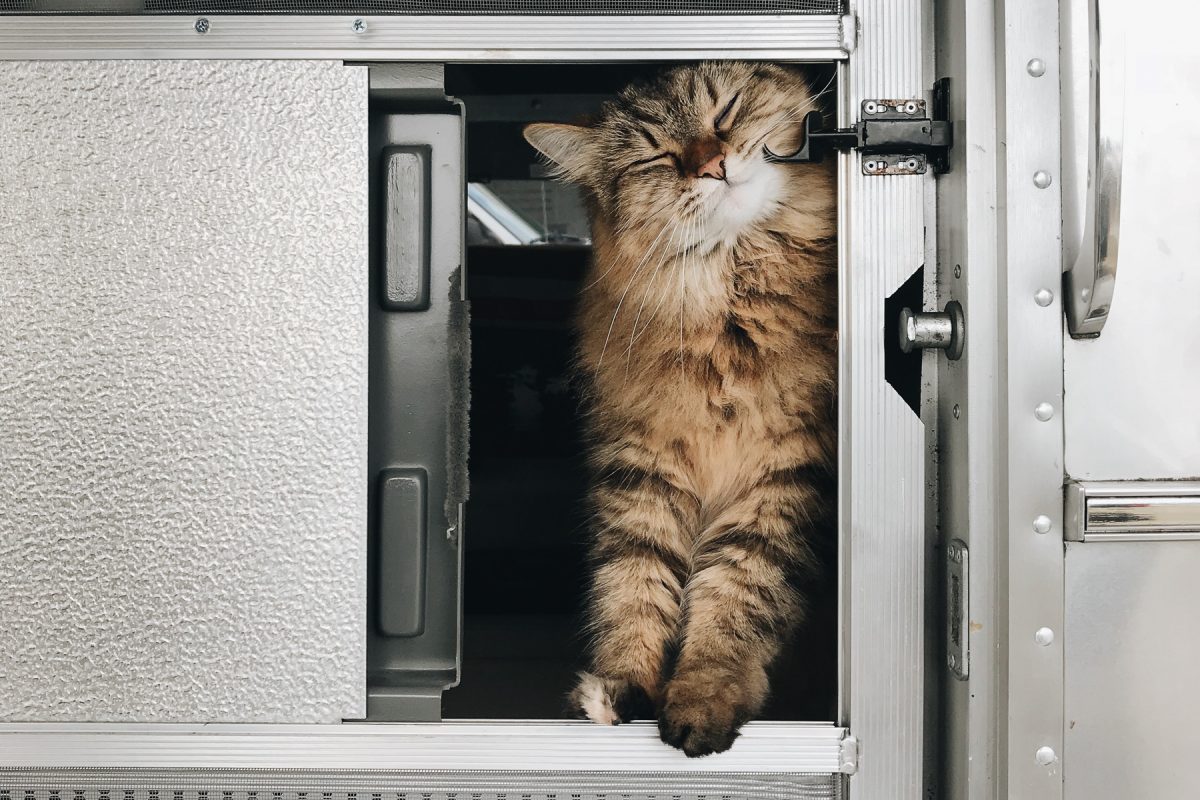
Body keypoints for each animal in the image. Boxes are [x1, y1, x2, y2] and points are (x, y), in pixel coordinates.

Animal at [525, 62, 835, 758]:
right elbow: (632, 589)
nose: (713, 165)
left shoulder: (779, 482)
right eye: (657, 157)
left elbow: (734, 600)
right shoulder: (643, 475)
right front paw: (622, 689)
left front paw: (701, 700)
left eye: (725, 112)